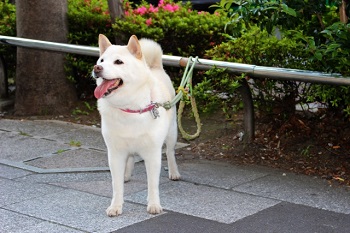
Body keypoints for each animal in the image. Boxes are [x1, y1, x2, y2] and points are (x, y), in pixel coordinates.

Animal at [93, 34, 180, 217]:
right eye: (102, 60)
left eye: (118, 62)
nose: (97, 68)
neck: (129, 108)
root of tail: (155, 67)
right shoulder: (115, 153)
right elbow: (116, 185)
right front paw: (116, 206)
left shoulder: (153, 154)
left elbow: (152, 184)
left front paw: (154, 205)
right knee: (131, 158)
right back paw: (126, 174)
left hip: (172, 133)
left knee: (170, 152)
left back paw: (174, 172)